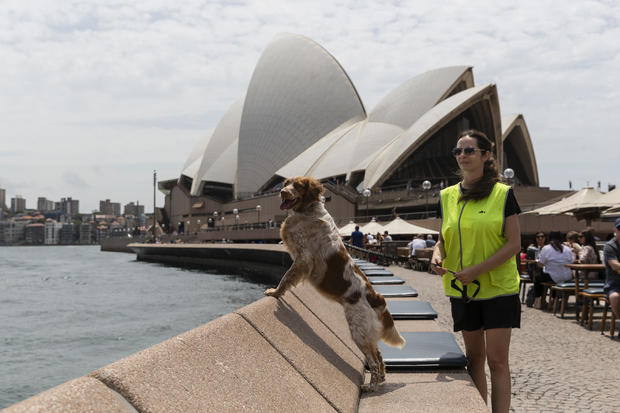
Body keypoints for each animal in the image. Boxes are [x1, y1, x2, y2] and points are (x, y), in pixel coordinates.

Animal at [262, 175, 404, 392]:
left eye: (298, 186)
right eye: (286, 183)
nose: (282, 192)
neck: (307, 211)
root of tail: (377, 297)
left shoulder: (303, 259)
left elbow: (286, 277)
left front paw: (275, 293)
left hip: (359, 332)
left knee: (373, 361)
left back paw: (370, 387)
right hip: (367, 334)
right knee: (380, 357)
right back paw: (380, 381)